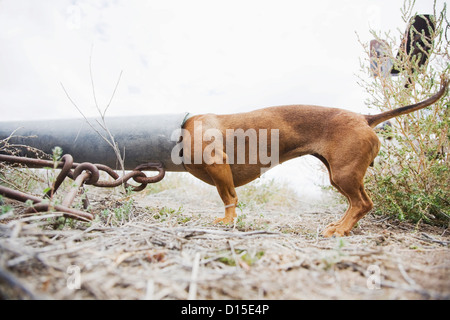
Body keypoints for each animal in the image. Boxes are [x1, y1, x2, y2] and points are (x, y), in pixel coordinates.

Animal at [178, 78, 446, 236]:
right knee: (356, 204)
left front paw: (227, 222)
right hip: (341, 176)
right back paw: (339, 226)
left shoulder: (218, 165)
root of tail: (363, 117)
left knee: (362, 204)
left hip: (344, 174)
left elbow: (229, 198)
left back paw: (340, 231)